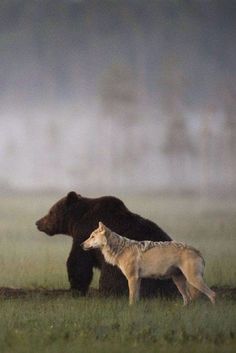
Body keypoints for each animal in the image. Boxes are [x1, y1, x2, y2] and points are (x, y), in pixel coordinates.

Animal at [35, 191, 177, 296]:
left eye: (50, 212)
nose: (38, 222)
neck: (76, 220)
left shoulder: (84, 234)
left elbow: (78, 262)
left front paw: (76, 288)